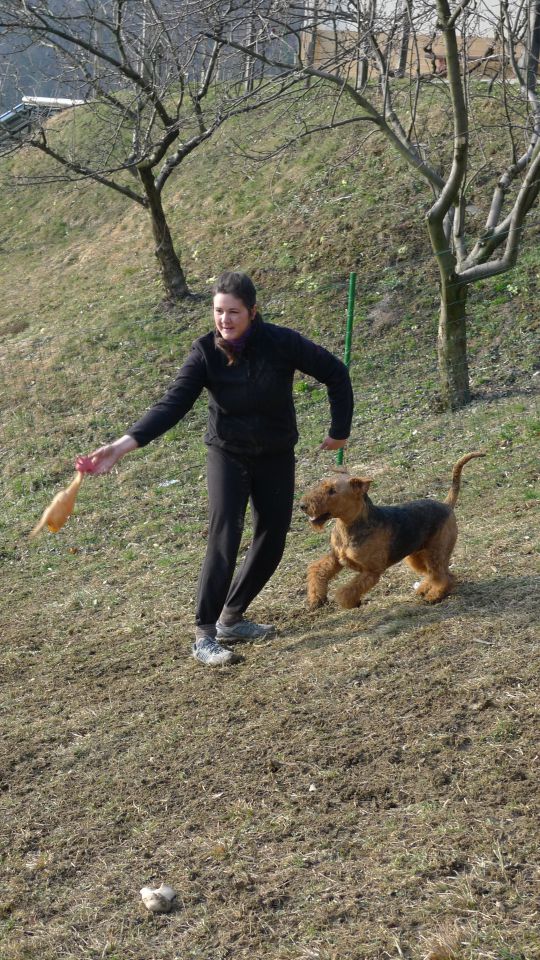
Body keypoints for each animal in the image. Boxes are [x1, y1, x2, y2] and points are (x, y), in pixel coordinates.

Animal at [300, 456, 486, 608]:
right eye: (321, 485)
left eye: (332, 491)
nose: (303, 506)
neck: (349, 526)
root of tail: (446, 505)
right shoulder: (336, 558)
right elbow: (317, 570)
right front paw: (316, 599)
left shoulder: (371, 571)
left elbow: (348, 590)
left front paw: (349, 602)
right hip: (417, 556)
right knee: (438, 574)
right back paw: (424, 589)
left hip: (436, 553)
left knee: (444, 577)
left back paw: (434, 596)